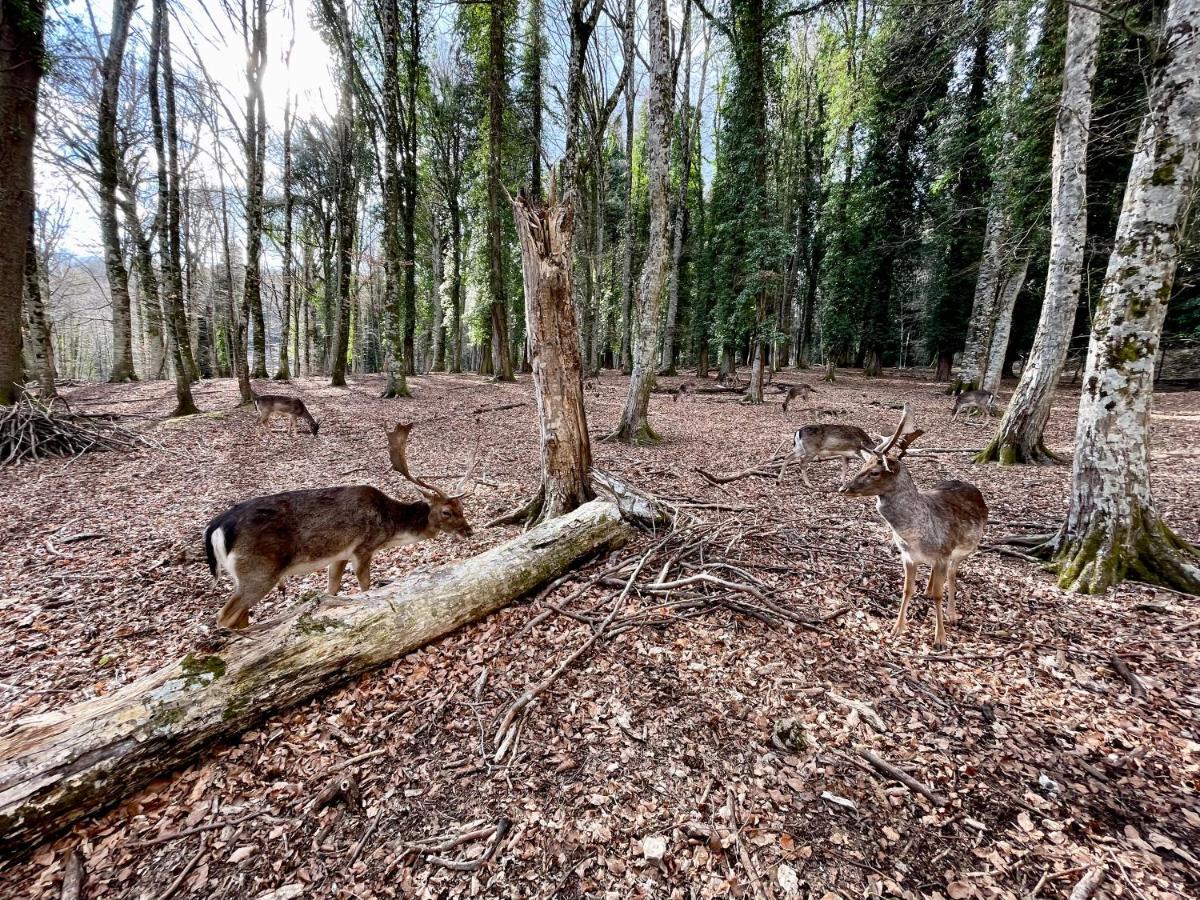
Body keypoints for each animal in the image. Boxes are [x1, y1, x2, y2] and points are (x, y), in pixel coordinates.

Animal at [204, 422, 475, 628]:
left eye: (462, 508)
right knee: (224, 616)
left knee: (239, 616)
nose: (469, 531)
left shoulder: (339, 555)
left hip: (241, 575)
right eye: (446, 512)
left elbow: (331, 590)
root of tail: (216, 527)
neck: (390, 526)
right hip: (258, 570)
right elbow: (366, 586)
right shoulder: (362, 548)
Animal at [840, 408, 988, 648]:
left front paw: (940, 639)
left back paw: (952, 613)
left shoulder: (943, 554)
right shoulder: (907, 556)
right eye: (863, 466)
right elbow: (907, 589)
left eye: (875, 472)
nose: (843, 488)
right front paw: (897, 628)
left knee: (952, 576)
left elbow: (939, 594)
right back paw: (928, 590)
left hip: (962, 551)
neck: (915, 535)